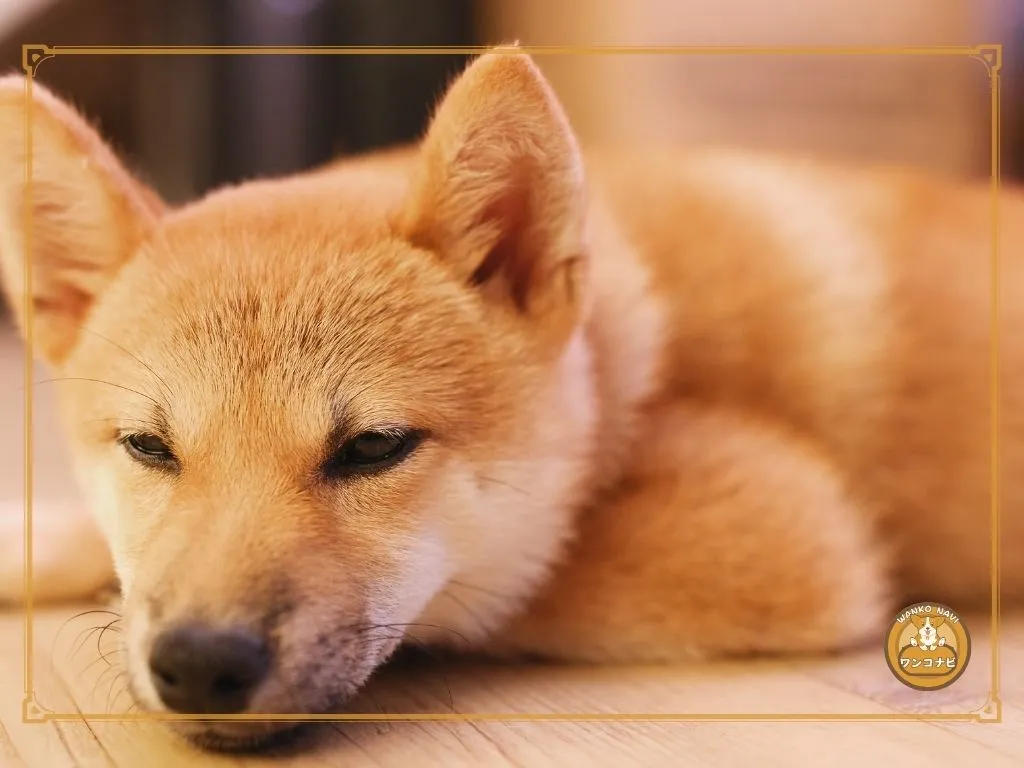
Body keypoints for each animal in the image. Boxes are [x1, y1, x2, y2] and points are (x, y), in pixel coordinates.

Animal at [2, 48, 1024, 753]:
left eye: (374, 447)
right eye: (148, 447)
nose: (201, 663)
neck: (622, 363)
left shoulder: (788, 531)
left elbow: (494, 597)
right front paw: (36, 540)